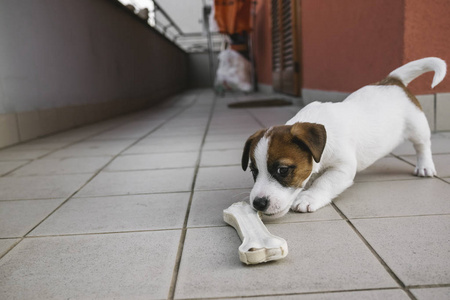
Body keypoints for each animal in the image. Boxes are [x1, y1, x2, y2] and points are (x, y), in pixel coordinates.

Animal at [241, 57, 444, 219]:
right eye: (253, 171)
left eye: (282, 170)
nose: (258, 203)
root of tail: (393, 81)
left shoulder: (343, 168)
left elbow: (324, 182)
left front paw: (308, 197)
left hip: (417, 126)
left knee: (423, 145)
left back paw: (425, 166)